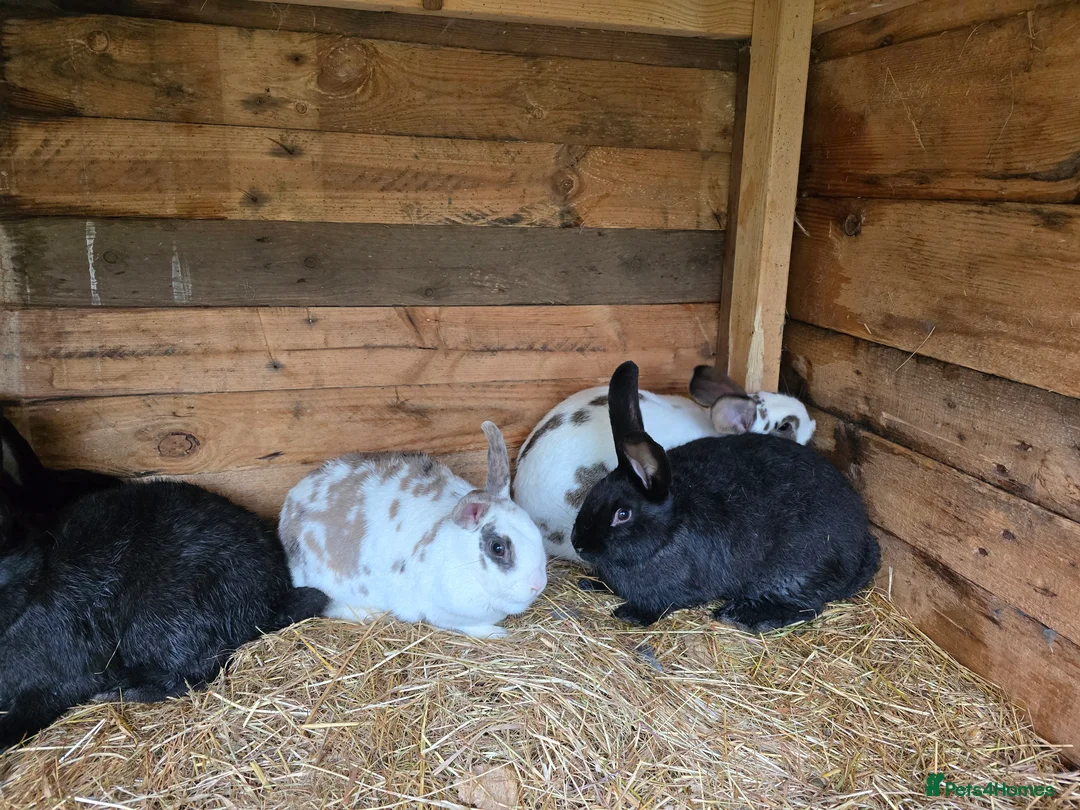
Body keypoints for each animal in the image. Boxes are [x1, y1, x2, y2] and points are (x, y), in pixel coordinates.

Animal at [280, 421, 548, 639]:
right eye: (498, 548)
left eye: (534, 529)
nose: (538, 585)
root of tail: (290, 504)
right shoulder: (445, 613)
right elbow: (474, 627)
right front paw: (498, 633)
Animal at [570, 361, 879, 634]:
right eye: (595, 490)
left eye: (623, 514)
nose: (578, 545)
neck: (671, 526)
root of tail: (859, 549)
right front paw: (590, 584)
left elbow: (661, 605)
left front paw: (630, 614)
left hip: (794, 573)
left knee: (806, 607)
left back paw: (741, 616)